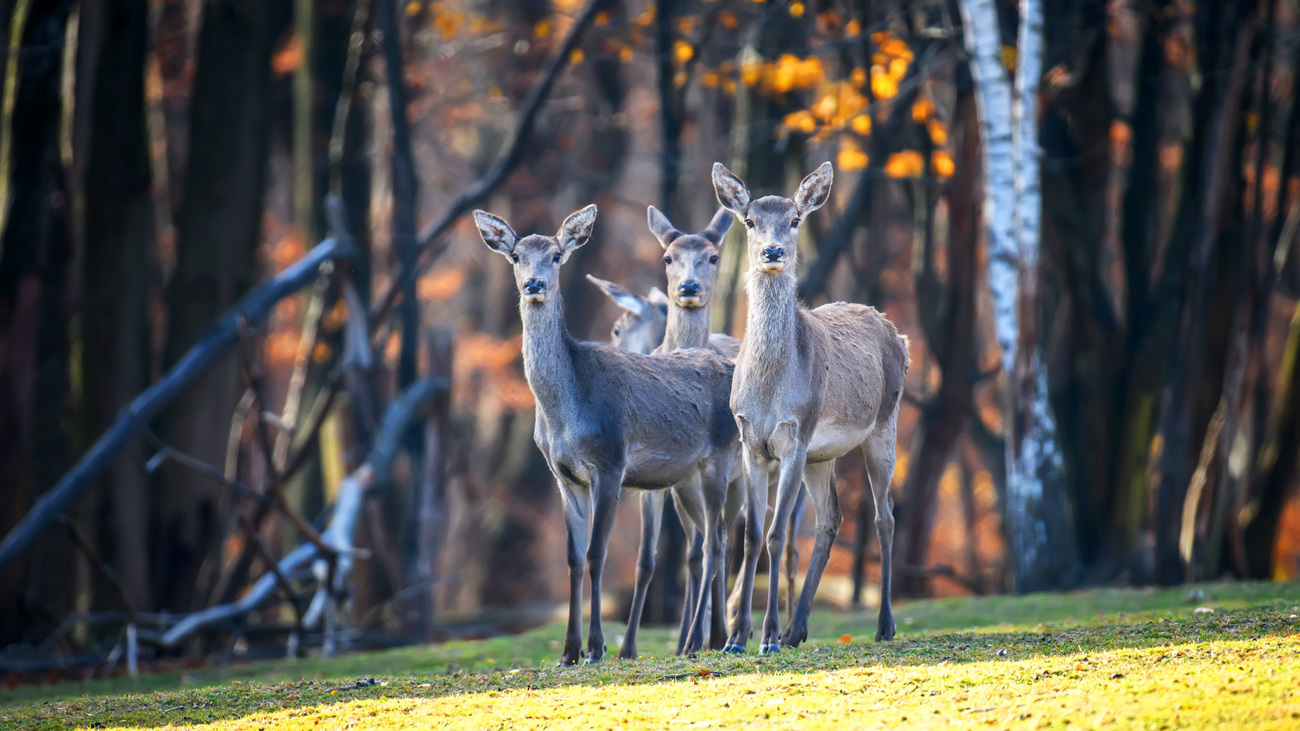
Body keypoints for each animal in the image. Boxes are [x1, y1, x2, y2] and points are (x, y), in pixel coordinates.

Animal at [475, 205, 743, 660]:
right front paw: (569, 651)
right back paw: (717, 638)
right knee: (716, 539)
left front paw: (597, 646)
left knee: (715, 543)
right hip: (686, 479)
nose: (534, 284)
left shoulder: (611, 463)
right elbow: (573, 557)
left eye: (557, 255)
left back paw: (701, 641)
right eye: (515, 256)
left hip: (720, 459)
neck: (566, 413)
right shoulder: (564, 476)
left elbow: (597, 553)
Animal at [712, 160, 915, 647]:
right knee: (831, 519)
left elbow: (776, 535)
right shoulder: (750, 442)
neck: (770, 389)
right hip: (823, 455)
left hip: (884, 425)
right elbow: (751, 535)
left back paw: (884, 625)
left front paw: (764, 637)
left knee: (885, 515)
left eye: (794, 220)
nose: (772, 252)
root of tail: (901, 337)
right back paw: (796, 629)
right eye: (749, 221)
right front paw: (736, 638)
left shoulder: (795, 438)